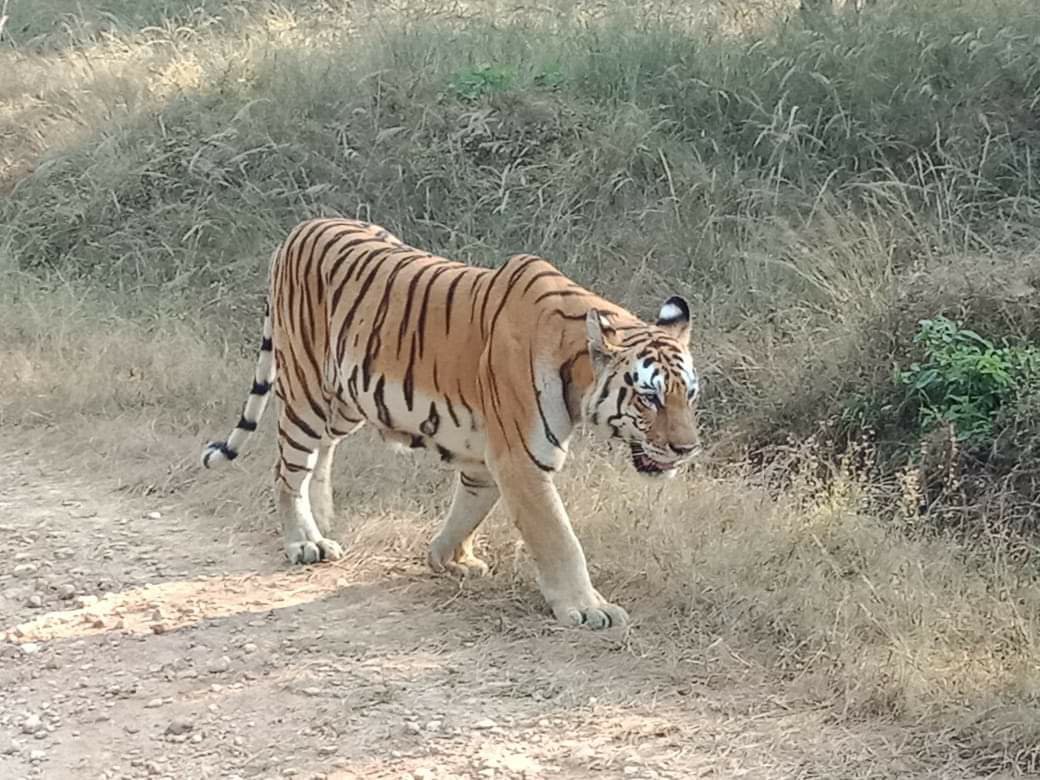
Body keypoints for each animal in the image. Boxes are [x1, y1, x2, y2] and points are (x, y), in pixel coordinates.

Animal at [198, 217, 703, 632]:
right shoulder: (521, 460)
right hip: (306, 391)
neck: (576, 371)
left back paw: (323, 519)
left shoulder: (489, 460)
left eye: (690, 395)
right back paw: (305, 542)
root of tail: (300, 229)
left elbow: (468, 512)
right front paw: (588, 608)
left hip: (343, 403)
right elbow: (559, 538)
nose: (687, 449)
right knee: (287, 469)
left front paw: (451, 559)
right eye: (650, 396)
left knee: (320, 454)